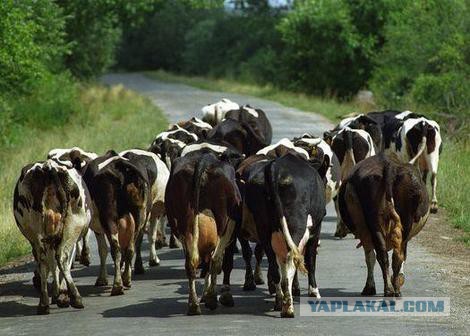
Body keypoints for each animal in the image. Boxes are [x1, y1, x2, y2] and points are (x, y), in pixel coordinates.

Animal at [12, 160, 92, 316]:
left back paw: (43, 303)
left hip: (36, 232)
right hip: (73, 224)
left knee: (43, 260)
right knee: (62, 257)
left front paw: (57, 294)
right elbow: (63, 263)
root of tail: (47, 167)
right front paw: (61, 294)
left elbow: (52, 264)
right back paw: (75, 298)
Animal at [81, 151, 151, 296]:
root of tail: (119, 163)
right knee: (130, 248)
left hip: (108, 218)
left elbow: (103, 250)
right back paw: (126, 280)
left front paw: (102, 279)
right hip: (139, 216)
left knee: (116, 249)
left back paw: (117, 286)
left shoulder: (98, 227)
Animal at [165, 150, 241, 316]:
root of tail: (203, 160)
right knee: (215, 259)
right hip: (224, 223)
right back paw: (211, 299)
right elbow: (224, 263)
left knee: (191, 262)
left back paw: (193, 304)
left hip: (185, 223)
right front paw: (218, 295)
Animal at [237, 154, 324, 316]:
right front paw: (314, 292)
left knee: (274, 265)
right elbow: (310, 260)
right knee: (290, 258)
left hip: (264, 229)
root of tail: (275, 168)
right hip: (296, 225)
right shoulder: (316, 229)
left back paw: (279, 300)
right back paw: (288, 307)